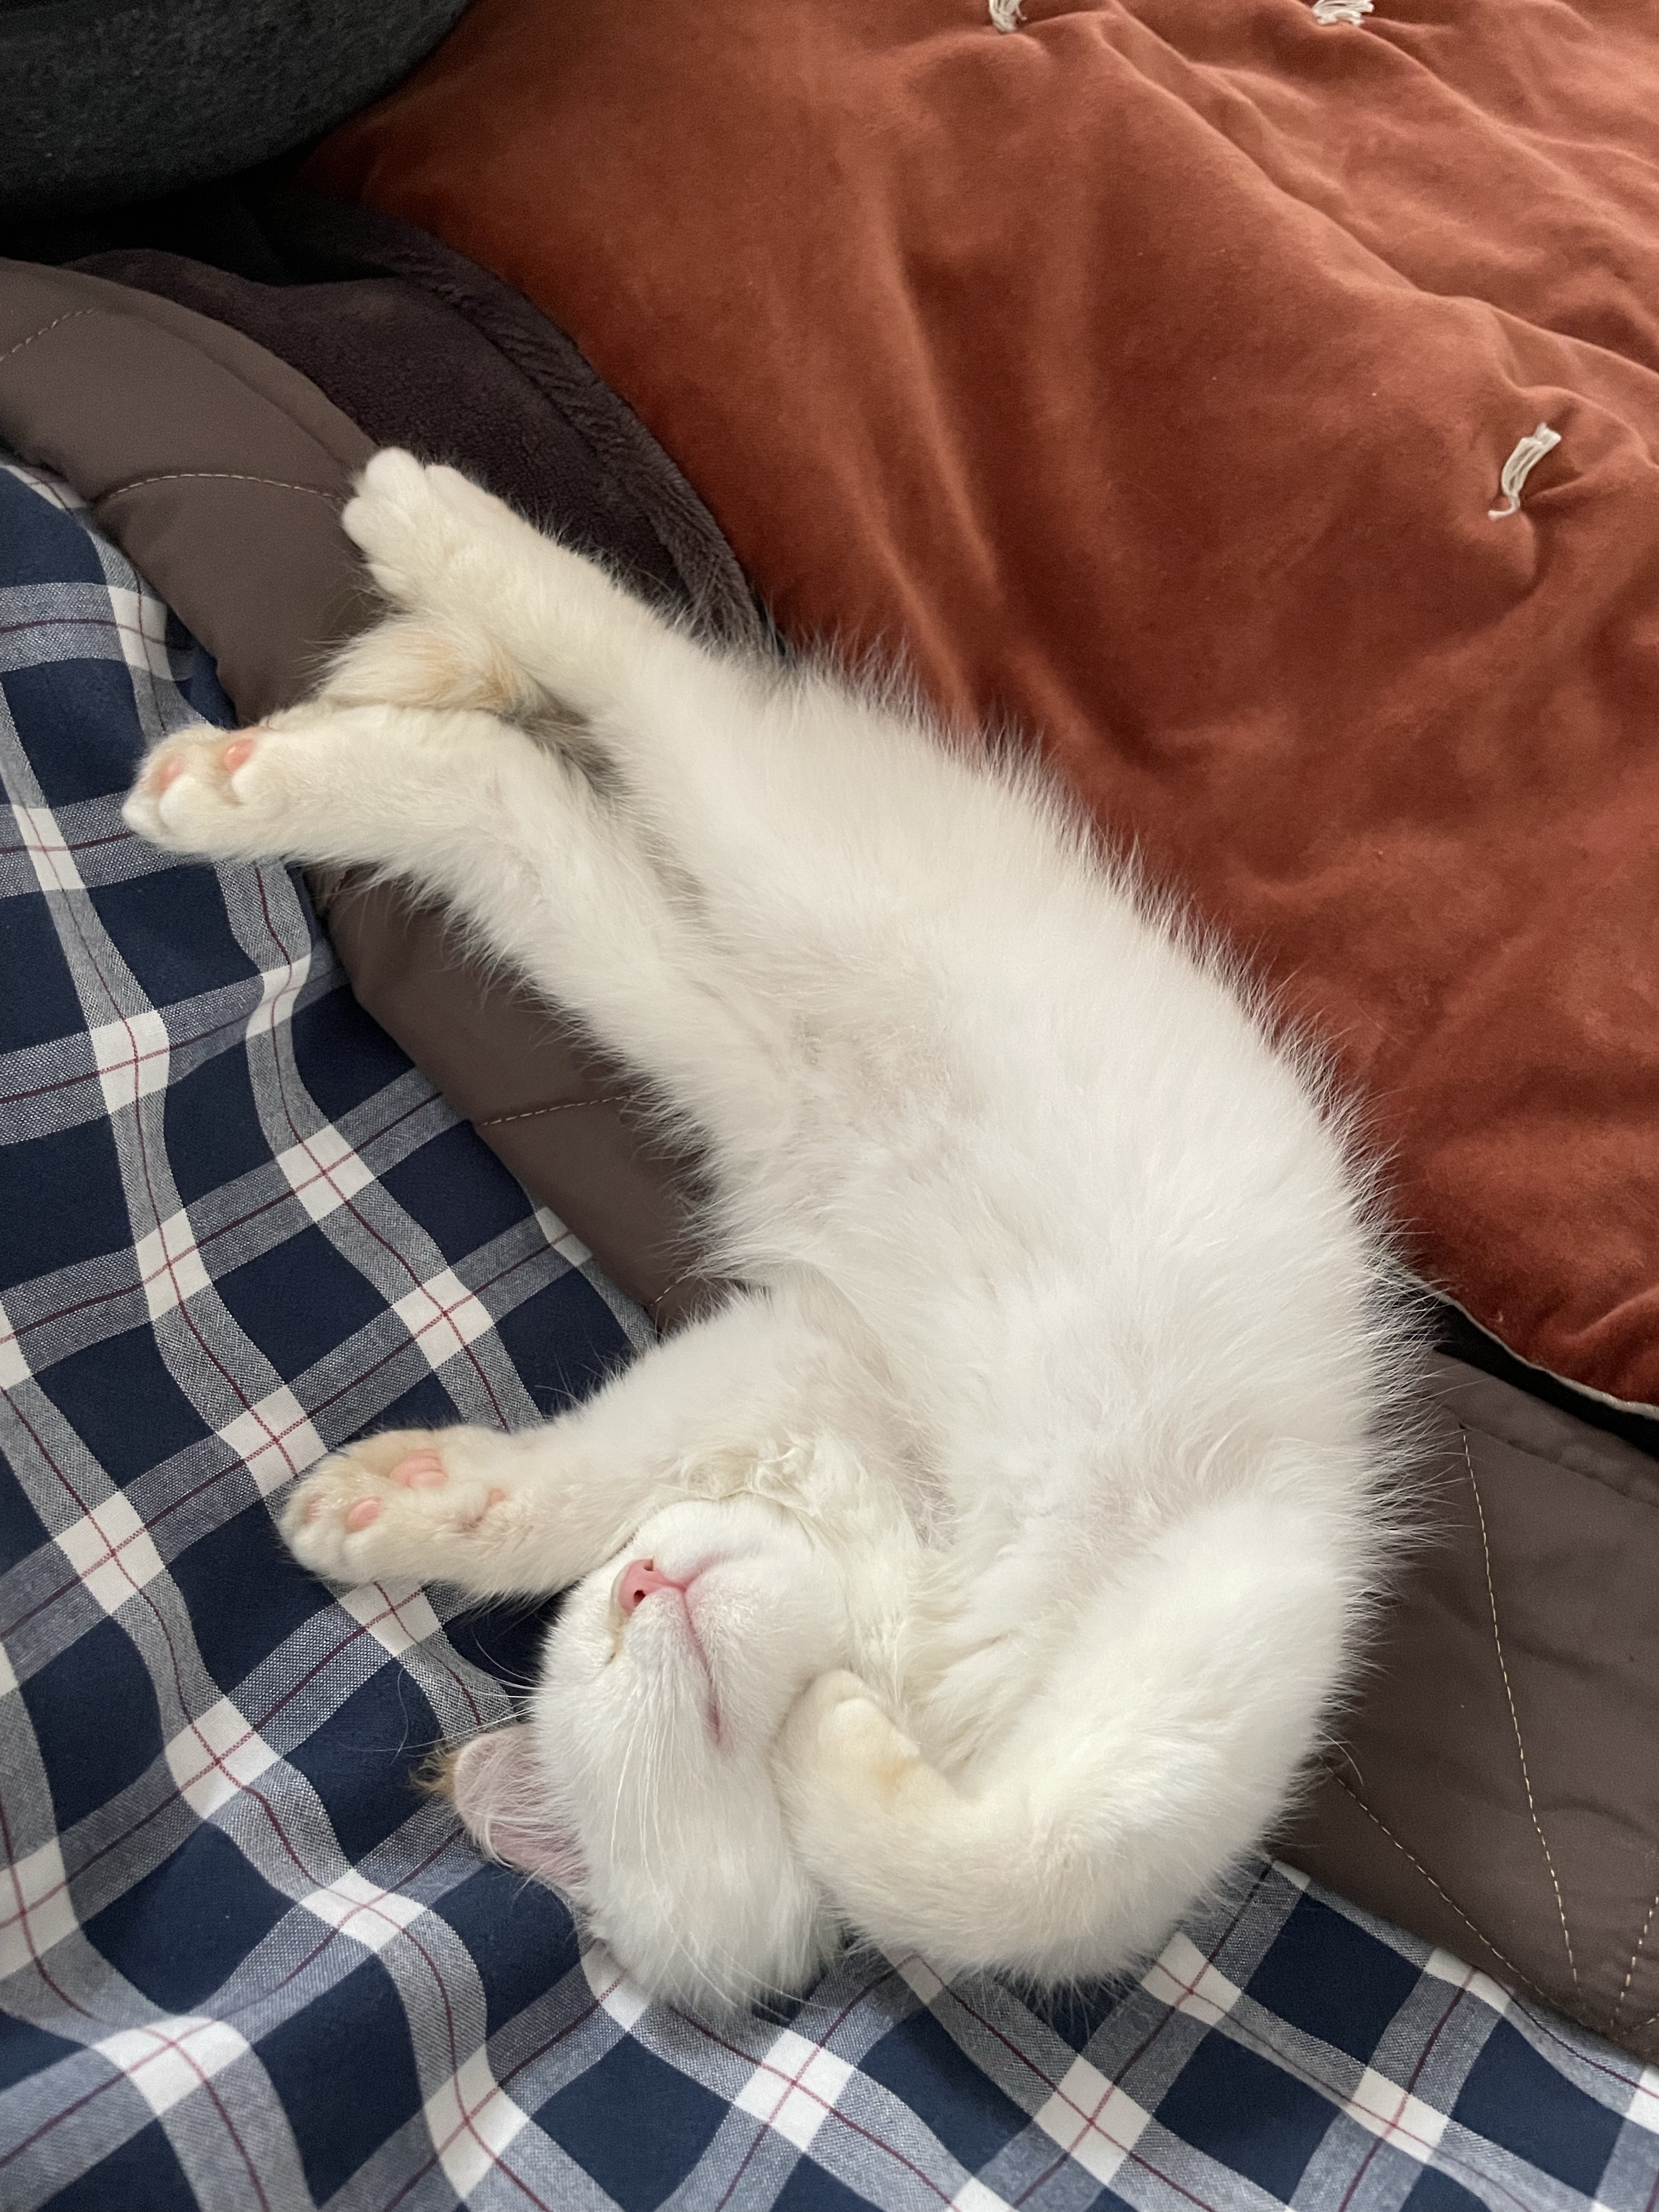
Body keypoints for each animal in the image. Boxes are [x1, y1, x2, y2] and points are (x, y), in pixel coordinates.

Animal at [124, 448, 1414, 2014]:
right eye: (609, 1633)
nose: (647, 1578)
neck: (907, 1592)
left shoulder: (1220, 1648)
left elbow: (1003, 1879)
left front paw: (829, 1746)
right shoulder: (808, 1366)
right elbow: (581, 1481)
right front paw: (412, 1507)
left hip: (791, 878)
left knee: (637, 683)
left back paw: (417, 535)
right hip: (683, 991)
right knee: (509, 785)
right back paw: (239, 781)